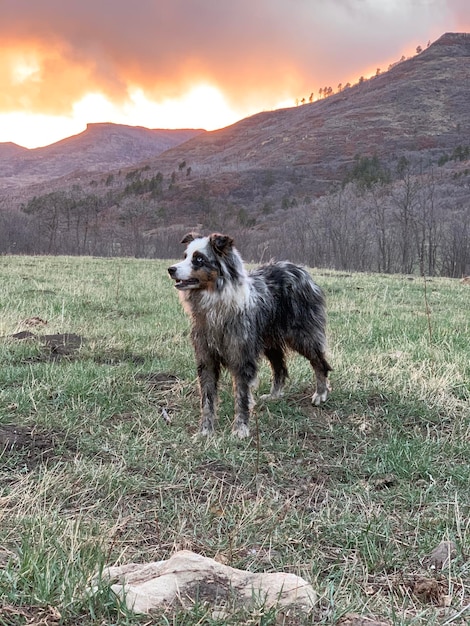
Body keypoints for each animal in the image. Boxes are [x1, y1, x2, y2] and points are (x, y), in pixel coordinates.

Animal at [167, 232, 332, 436]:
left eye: (199, 259)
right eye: (185, 256)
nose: (170, 269)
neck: (215, 305)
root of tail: (299, 269)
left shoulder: (242, 358)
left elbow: (242, 396)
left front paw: (240, 429)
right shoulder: (206, 359)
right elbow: (207, 399)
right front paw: (205, 431)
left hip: (302, 335)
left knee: (319, 362)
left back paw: (320, 393)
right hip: (269, 340)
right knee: (279, 367)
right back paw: (274, 395)